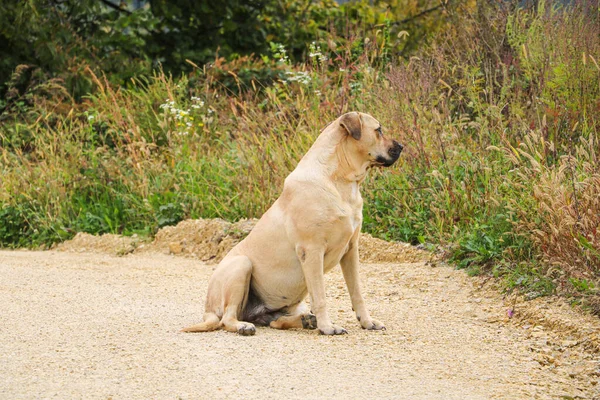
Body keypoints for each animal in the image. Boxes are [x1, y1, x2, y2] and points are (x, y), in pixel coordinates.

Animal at [183, 111, 404, 334]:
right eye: (378, 130)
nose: (402, 146)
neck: (340, 179)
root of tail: (208, 309)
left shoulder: (351, 250)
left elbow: (357, 293)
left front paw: (367, 322)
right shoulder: (312, 251)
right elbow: (321, 296)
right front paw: (327, 327)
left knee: (275, 321)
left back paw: (306, 320)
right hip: (241, 266)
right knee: (227, 318)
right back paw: (244, 326)